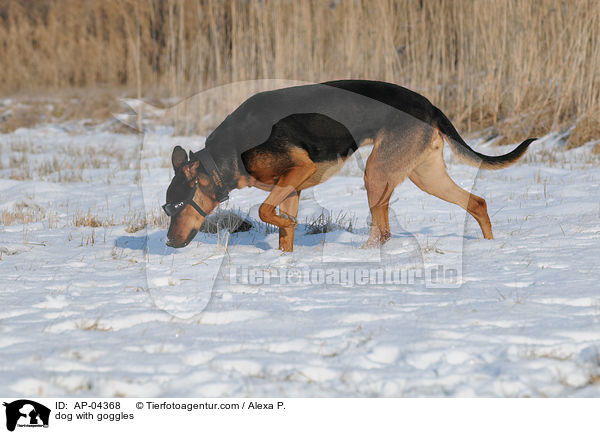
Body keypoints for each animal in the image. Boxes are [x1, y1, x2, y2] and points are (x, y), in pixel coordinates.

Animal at [161, 80, 536, 251]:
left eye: (174, 207)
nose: (167, 243)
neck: (220, 158)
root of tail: (429, 105)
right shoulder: (291, 187)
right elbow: (283, 232)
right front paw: (284, 259)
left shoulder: (299, 170)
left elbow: (266, 211)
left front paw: (288, 223)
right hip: (425, 175)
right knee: (477, 202)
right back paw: (489, 245)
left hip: (376, 174)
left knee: (383, 231)